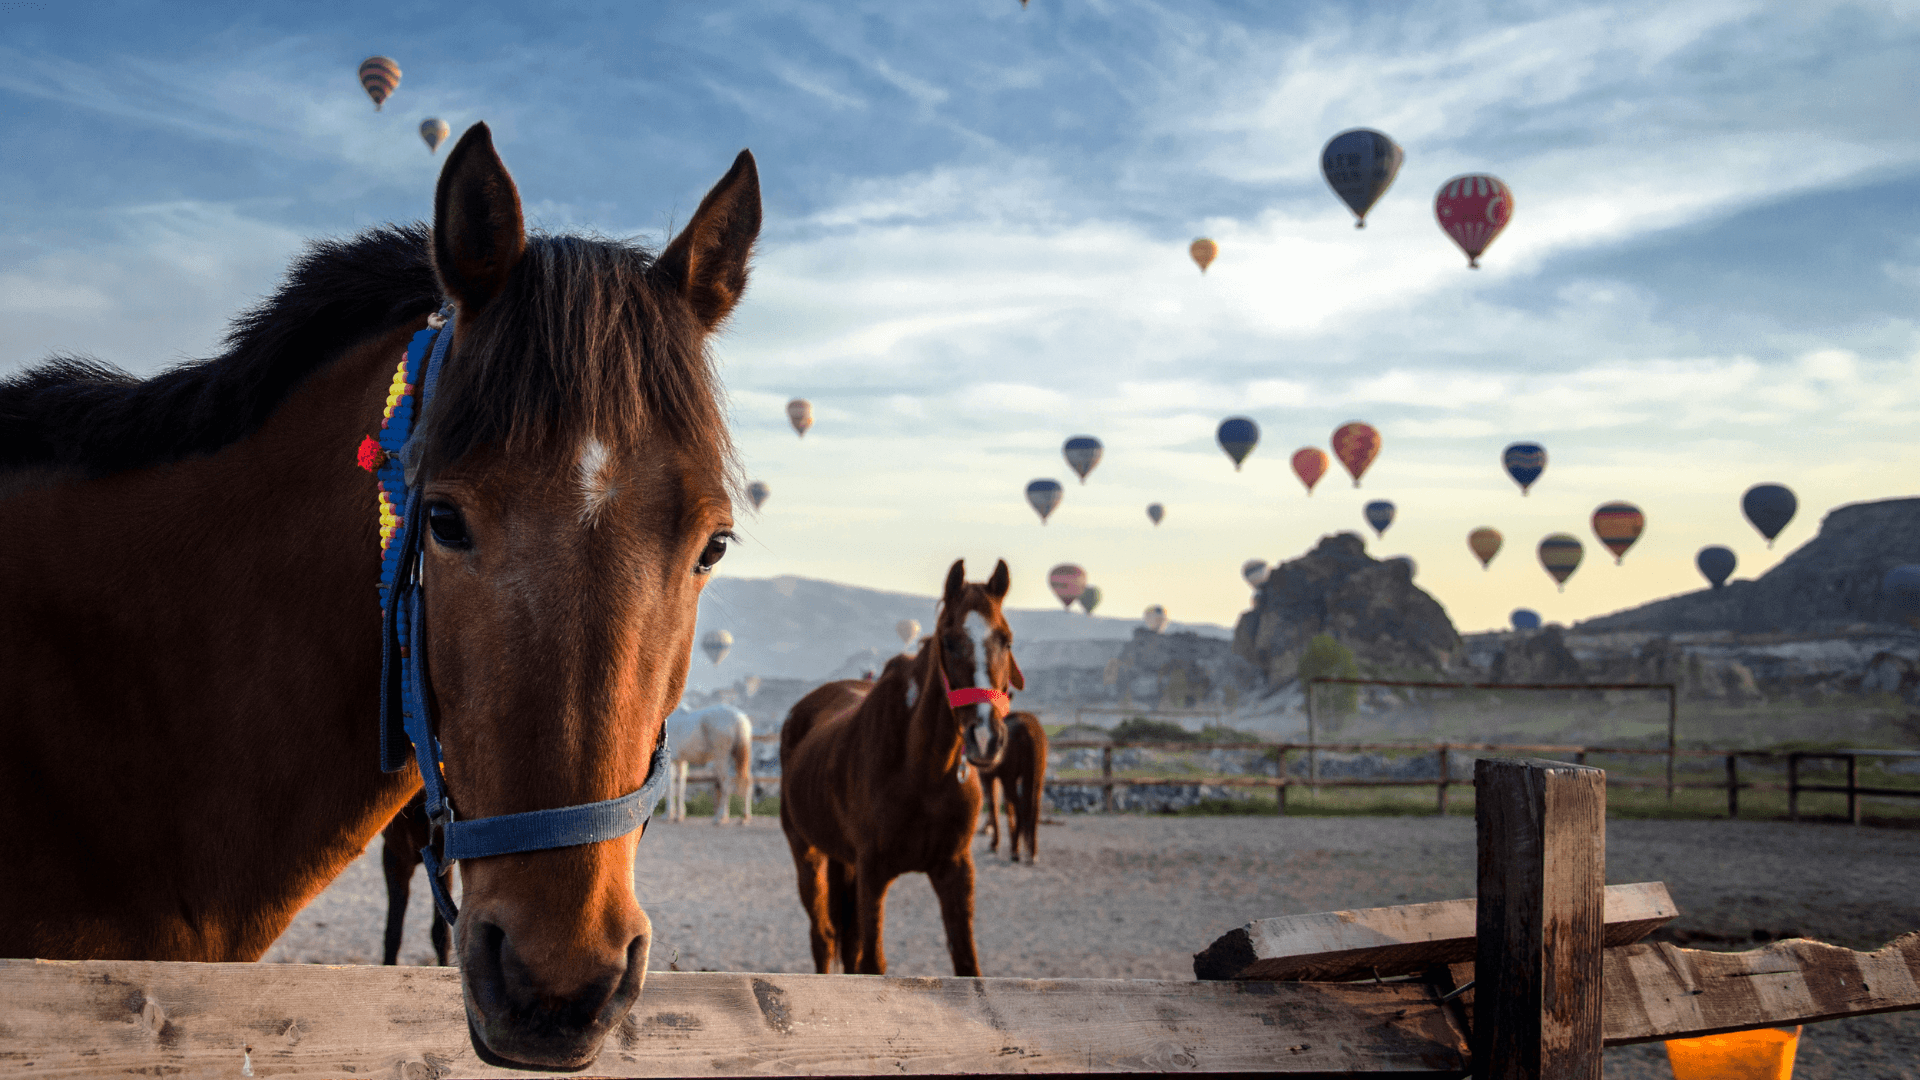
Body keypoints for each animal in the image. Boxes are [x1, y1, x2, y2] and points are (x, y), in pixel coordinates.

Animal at [779, 559, 1022, 976]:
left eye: (1005, 640)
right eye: (949, 641)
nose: (986, 737)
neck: (922, 773)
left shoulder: (955, 870)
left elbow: (967, 964)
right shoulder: (874, 873)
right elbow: (872, 962)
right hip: (807, 853)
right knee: (823, 937)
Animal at [977, 710, 1048, 864]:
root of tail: (1029, 729)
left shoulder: (988, 777)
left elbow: (994, 806)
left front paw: (994, 843)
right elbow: (1005, 807)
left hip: (1009, 779)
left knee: (1019, 807)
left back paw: (1015, 850)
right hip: (1037, 778)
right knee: (1033, 809)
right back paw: (1031, 852)